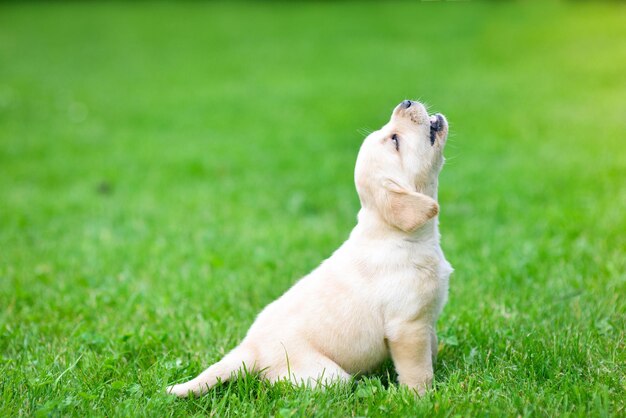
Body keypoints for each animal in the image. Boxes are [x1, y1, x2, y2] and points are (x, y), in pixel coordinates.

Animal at [166, 99, 448, 396]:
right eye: (394, 140)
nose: (406, 102)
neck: (398, 235)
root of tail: (249, 349)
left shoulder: (426, 325)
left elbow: (431, 350)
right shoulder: (407, 327)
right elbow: (418, 371)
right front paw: (422, 397)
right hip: (331, 376)